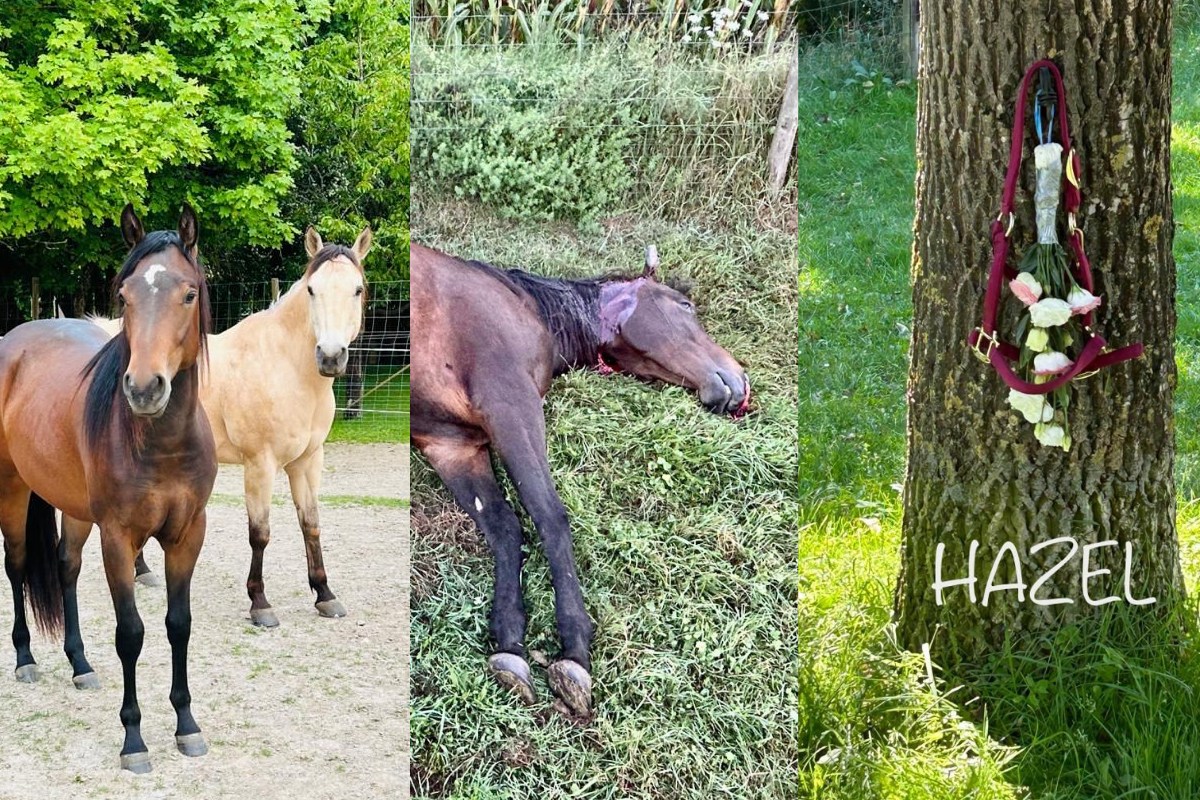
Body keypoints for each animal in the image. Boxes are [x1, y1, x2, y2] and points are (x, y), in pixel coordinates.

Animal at [0, 205, 215, 773]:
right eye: (124, 296)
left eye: (189, 293)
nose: (144, 388)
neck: (162, 444)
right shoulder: (119, 539)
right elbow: (131, 633)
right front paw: (134, 739)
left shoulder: (187, 535)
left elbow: (178, 624)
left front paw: (187, 725)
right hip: (12, 489)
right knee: (17, 564)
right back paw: (25, 658)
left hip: (75, 510)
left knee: (65, 567)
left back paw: (79, 664)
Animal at [104, 227, 371, 627]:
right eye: (312, 289)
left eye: (357, 289)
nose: (330, 356)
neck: (285, 365)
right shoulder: (260, 464)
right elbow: (260, 533)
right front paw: (260, 603)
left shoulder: (307, 461)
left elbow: (310, 523)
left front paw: (325, 594)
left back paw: (142, 571)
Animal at [411, 242, 749, 717]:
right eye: (684, 306)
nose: (740, 381)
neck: (525, 305)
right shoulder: (509, 401)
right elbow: (550, 517)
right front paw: (575, 651)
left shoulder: (453, 446)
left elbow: (505, 528)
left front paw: (510, 643)